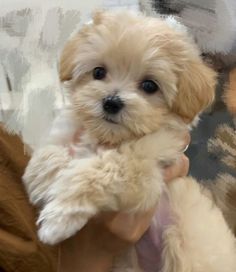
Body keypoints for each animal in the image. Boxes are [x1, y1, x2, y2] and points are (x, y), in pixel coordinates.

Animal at [22, 11, 236, 272]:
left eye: (149, 85)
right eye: (98, 72)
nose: (111, 102)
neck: (108, 136)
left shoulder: (145, 169)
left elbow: (99, 171)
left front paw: (57, 219)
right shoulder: (67, 129)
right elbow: (49, 151)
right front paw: (40, 182)